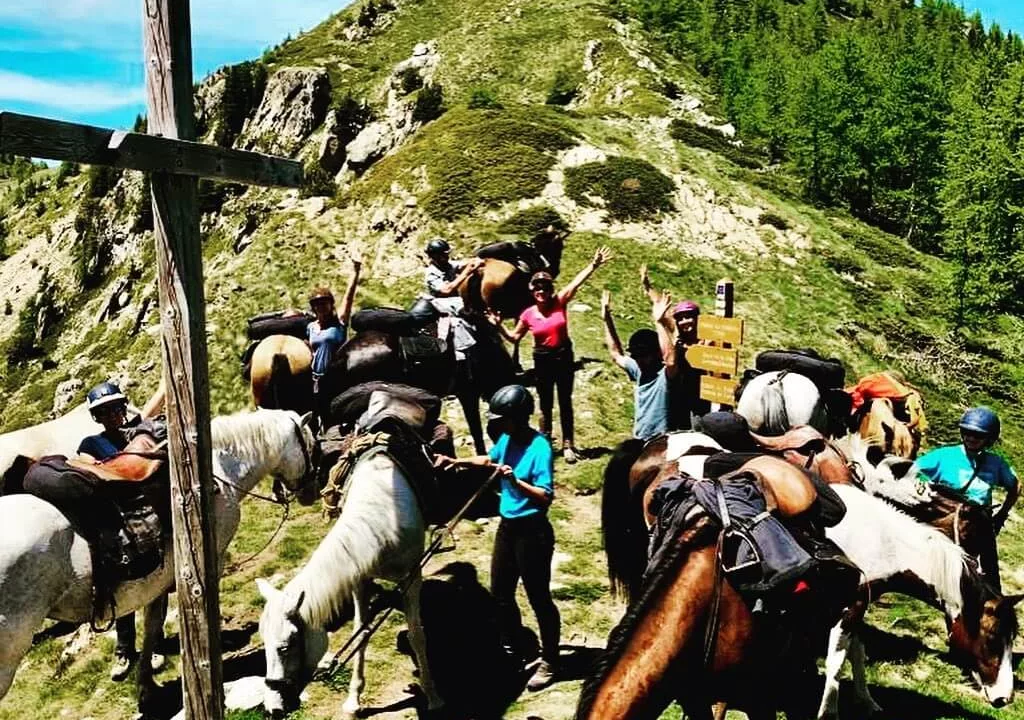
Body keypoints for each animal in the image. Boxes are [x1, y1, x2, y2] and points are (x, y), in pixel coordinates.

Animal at [0, 407, 317, 716]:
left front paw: (146, 688)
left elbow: (153, 626)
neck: (216, 469)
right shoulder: (210, 562)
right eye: (311, 444)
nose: (311, 491)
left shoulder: (159, 581)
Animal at [815, 481, 1015, 716]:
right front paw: (828, 711)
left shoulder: (859, 608)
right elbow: (837, 661)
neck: (882, 544)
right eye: (992, 639)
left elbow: (857, 652)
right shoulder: (850, 608)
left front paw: (867, 701)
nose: (1004, 697)